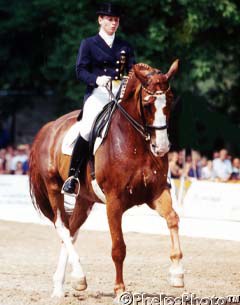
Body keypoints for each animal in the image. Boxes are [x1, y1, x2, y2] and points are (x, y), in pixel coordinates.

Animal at [29, 60, 184, 300]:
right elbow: (118, 247)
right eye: (148, 104)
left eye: (169, 100)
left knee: (71, 232)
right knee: (62, 227)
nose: (161, 147)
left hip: (85, 199)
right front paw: (120, 290)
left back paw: (63, 285)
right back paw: (79, 276)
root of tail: (48, 128)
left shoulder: (157, 192)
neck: (136, 142)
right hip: (54, 187)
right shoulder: (114, 202)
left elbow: (173, 219)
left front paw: (177, 273)